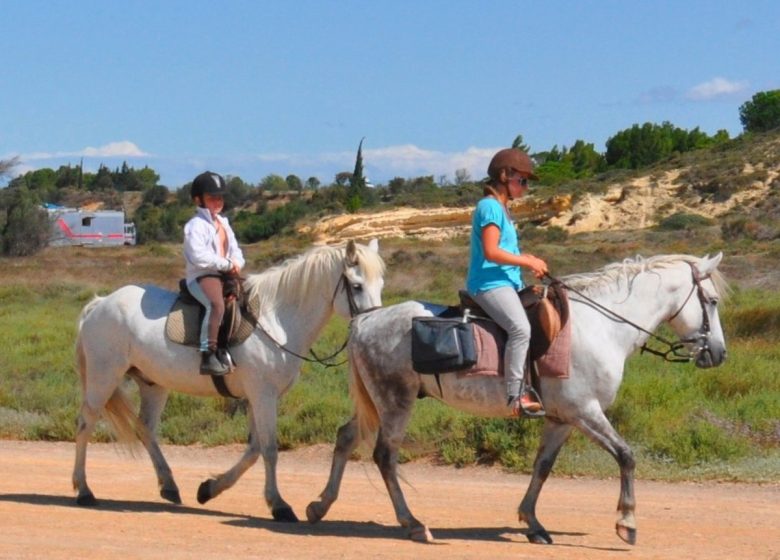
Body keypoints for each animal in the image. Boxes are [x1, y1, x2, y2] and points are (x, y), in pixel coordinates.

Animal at [74, 238, 386, 520]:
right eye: (356, 286)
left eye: (381, 285)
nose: (371, 325)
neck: (277, 320)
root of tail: (100, 303)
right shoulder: (262, 395)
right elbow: (269, 449)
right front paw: (280, 506)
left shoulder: (257, 398)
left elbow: (254, 449)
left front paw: (209, 489)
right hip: (104, 376)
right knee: (85, 424)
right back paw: (84, 490)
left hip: (153, 384)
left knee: (146, 430)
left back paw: (169, 486)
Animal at [304, 253, 724, 544]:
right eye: (713, 301)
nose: (718, 354)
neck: (601, 326)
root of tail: (364, 321)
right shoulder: (586, 412)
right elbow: (626, 455)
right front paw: (626, 522)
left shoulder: (561, 420)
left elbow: (542, 467)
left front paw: (533, 523)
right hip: (395, 403)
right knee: (384, 457)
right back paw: (413, 523)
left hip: (376, 403)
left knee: (345, 437)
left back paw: (320, 505)